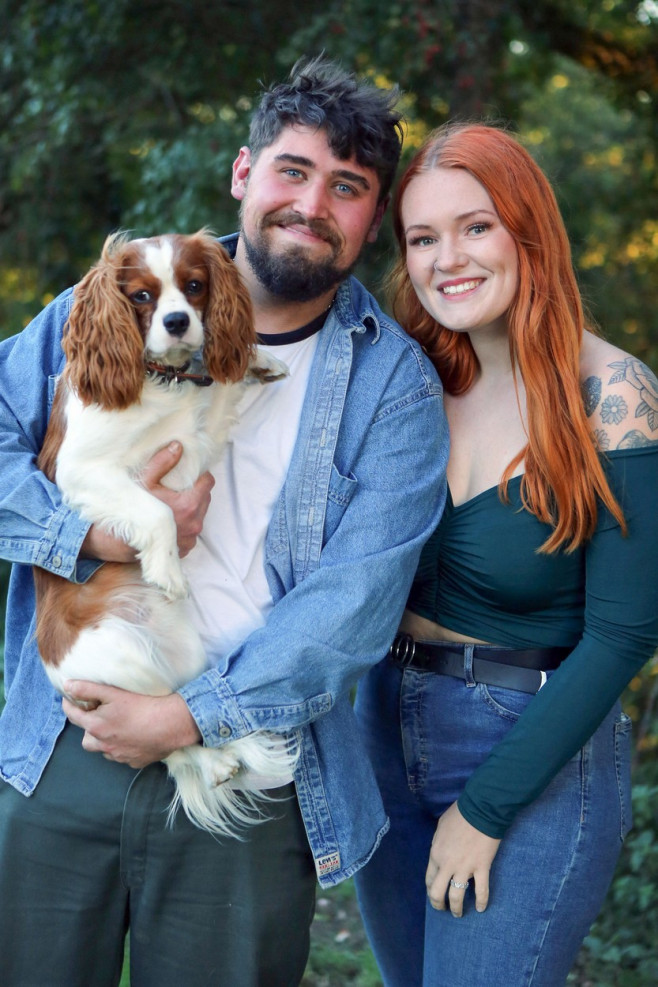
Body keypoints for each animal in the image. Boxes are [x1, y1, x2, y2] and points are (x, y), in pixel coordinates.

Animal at [32, 230, 294, 832]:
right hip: (120, 658)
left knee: (180, 714)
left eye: (194, 287)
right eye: (142, 296)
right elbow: (156, 512)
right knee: (163, 741)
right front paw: (167, 571)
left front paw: (258, 359)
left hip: (184, 657)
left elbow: (221, 385)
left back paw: (230, 755)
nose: (177, 321)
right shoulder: (82, 470)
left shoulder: (193, 444)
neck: (160, 376)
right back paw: (218, 764)